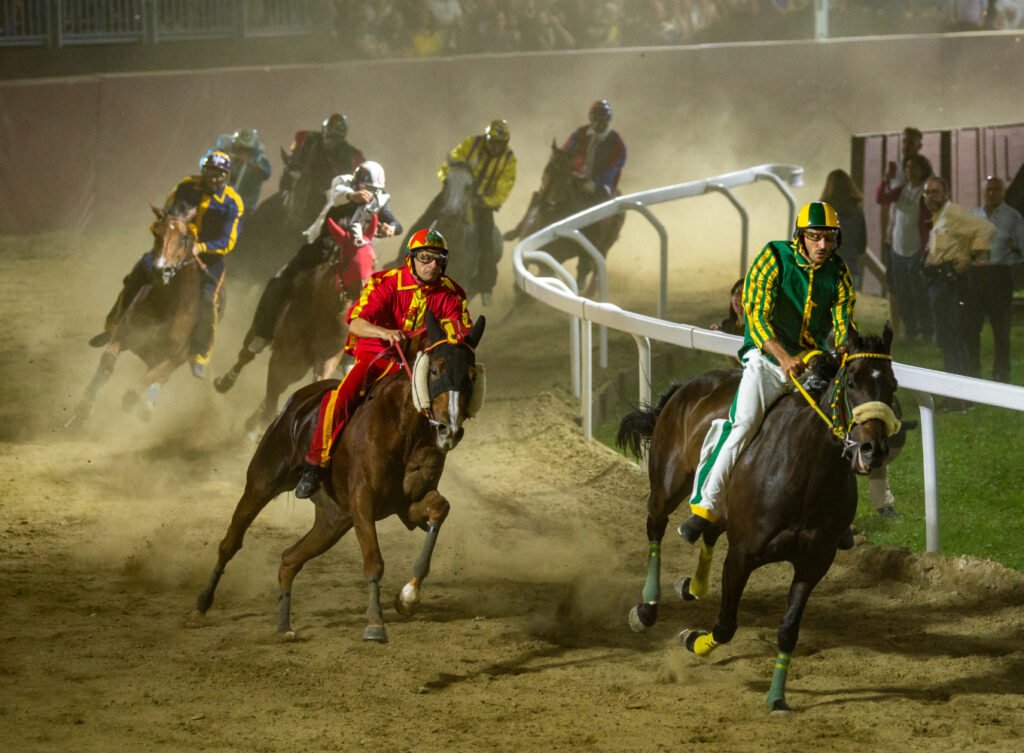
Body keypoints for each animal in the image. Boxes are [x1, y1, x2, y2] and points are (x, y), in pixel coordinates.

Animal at [67, 203, 216, 425]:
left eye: (183, 236)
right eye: (156, 232)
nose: (161, 269)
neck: (165, 306)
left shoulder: (172, 358)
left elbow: (142, 386)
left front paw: (134, 405)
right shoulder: (123, 334)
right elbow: (107, 363)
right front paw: (83, 408)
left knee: (158, 381)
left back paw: (146, 407)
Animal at [193, 310, 486, 643]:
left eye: (471, 375)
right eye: (435, 369)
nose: (450, 429)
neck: (403, 429)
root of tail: (298, 402)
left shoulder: (405, 505)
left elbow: (439, 508)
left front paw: (408, 597)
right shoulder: (362, 500)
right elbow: (373, 560)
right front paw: (375, 623)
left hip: (333, 520)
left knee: (289, 559)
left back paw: (284, 625)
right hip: (262, 480)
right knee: (231, 542)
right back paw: (202, 604)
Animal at [505, 141, 625, 296]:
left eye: (566, 177)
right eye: (549, 167)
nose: (547, 201)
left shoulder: (552, 263)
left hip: (605, 244)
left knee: (596, 268)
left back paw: (588, 290)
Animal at [616, 325, 900, 712]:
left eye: (893, 385)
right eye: (853, 381)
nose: (873, 450)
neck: (807, 471)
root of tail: (688, 384)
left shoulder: (815, 561)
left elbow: (788, 630)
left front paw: (777, 697)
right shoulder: (743, 554)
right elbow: (725, 626)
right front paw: (692, 638)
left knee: (709, 529)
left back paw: (691, 586)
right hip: (667, 483)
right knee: (655, 525)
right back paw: (647, 607)